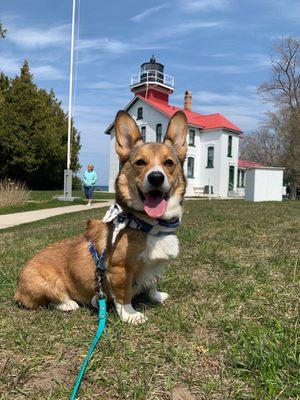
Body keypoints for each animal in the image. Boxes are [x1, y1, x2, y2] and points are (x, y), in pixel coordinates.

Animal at [15, 111, 188, 324]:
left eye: (168, 163)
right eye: (140, 162)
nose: (156, 177)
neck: (147, 224)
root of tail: (17, 288)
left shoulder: (155, 266)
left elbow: (152, 282)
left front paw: (156, 296)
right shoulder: (120, 270)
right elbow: (124, 295)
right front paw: (130, 315)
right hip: (45, 284)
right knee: (50, 299)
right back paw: (67, 304)